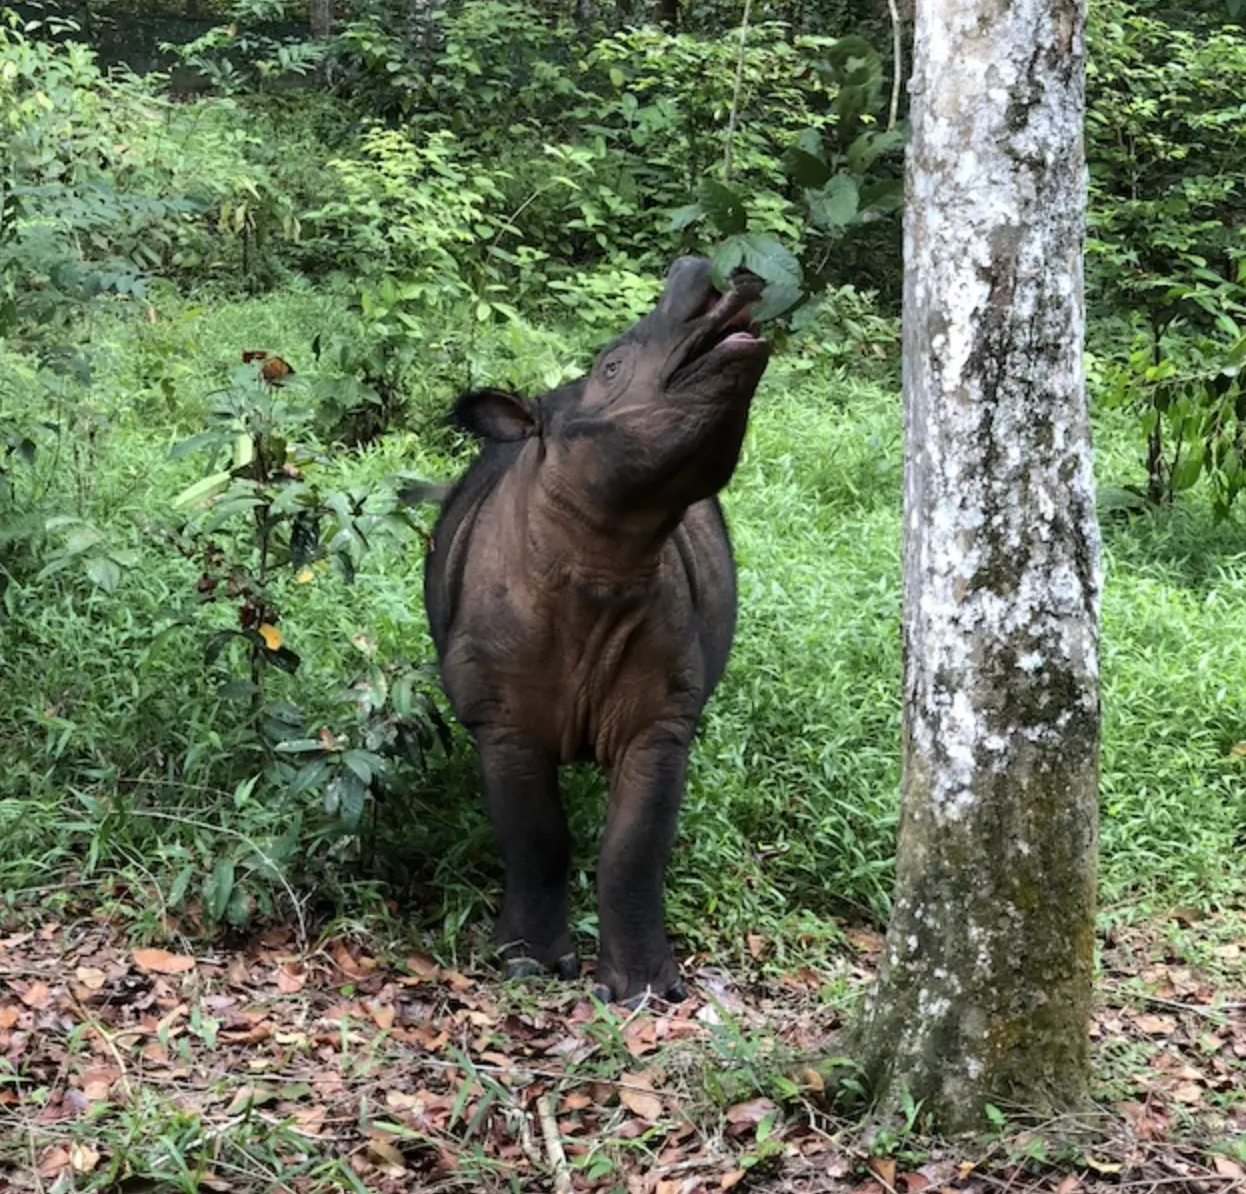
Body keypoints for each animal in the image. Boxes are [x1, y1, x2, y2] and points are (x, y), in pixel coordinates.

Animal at [423, 256, 771, 1003]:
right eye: (611, 367)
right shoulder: (502, 718)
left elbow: (634, 848)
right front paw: (526, 964)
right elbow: (536, 837)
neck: (602, 556)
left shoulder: (662, 719)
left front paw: (642, 990)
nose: (703, 270)